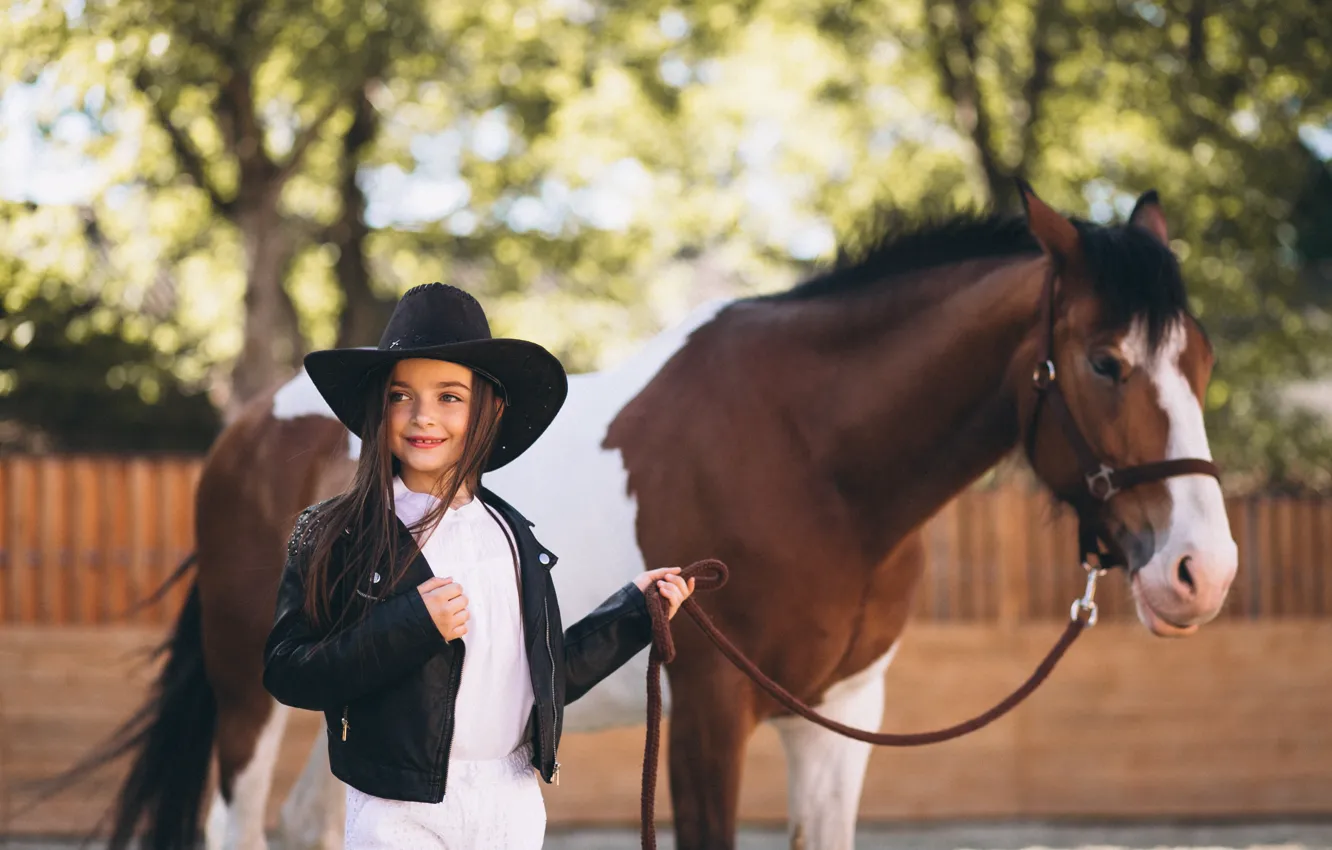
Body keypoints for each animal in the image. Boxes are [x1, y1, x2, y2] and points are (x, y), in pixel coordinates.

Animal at [71, 185, 1236, 850]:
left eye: (1204, 361)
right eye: (1104, 360)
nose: (1202, 572)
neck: (813, 456)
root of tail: (241, 436)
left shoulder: (838, 714)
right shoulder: (711, 711)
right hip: (251, 696)